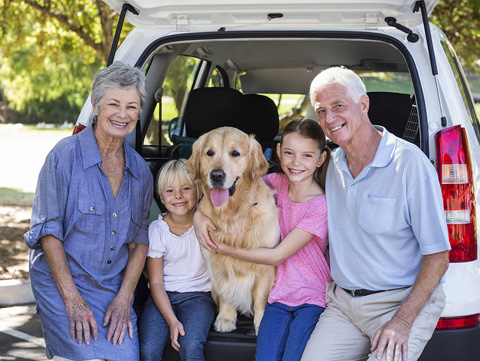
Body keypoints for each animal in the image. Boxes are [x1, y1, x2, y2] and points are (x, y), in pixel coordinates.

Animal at [185, 126, 282, 332]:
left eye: (235, 153)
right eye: (209, 153)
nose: (216, 175)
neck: (234, 214)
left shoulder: (266, 265)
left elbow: (261, 298)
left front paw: (261, 323)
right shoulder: (217, 263)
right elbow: (225, 293)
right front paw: (226, 318)